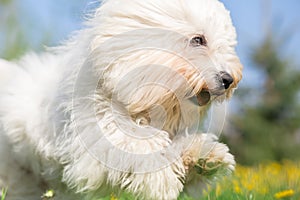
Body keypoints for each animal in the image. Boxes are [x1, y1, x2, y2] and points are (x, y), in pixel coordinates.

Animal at [0, 0, 241, 199]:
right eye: (198, 39)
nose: (228, 79)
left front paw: (204, 157)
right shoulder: (95, 134)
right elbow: (135, 144)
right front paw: (161, 179)